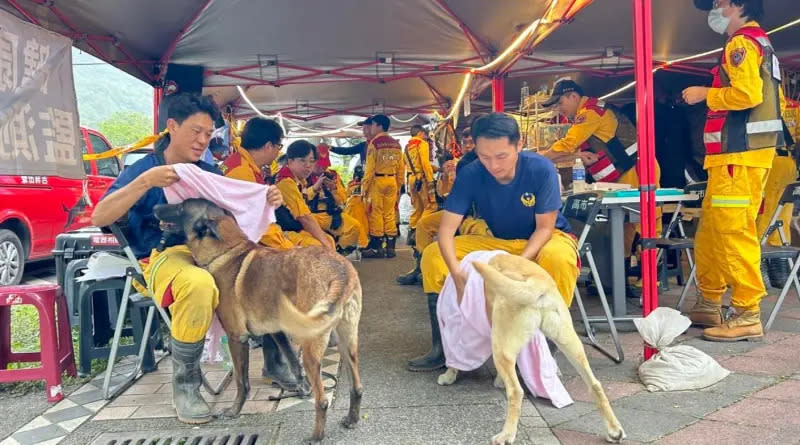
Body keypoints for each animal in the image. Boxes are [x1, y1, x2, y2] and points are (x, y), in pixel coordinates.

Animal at [152, 199, 362, 440]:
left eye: (180, 207)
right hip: (347, 343)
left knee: (322, 400)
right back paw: (351, 419)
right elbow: (292, 363)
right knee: (357, 387)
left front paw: (234, 411)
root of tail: (341, 272)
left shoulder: (237, 337)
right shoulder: (276, 331)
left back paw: (316, 436)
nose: (155, 207)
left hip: (311, 346)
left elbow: (241, 381)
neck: (227, 251)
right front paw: (301, 389)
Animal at [434, 253, 620, 444]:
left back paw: (507, 434)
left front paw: (448, 376)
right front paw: (499, 380)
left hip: (501, 347)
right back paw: (614, 430)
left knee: (516, 392)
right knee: (595, 385)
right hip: (570, 342)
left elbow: (455, 360)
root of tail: (538, 282)